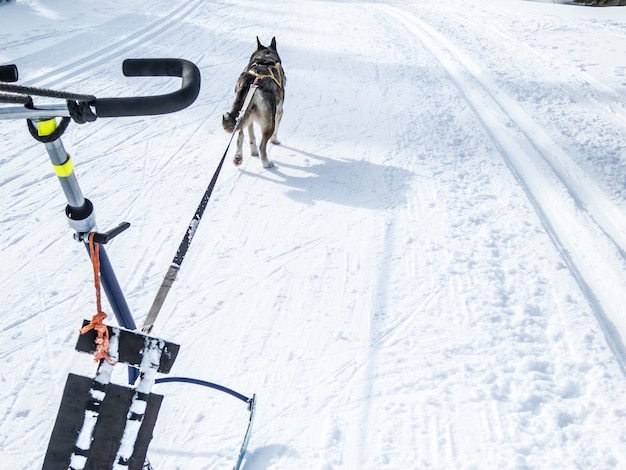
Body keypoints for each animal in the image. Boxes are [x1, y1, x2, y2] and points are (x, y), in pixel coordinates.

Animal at [222, 36, 286, 169]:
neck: (265, 58)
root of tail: (251, 80)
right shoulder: (279, 111)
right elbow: (276, 131)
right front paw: (275, 141)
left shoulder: (250, 118)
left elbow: (251, 136)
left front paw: (253, 151)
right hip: (269, 123)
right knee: (262, 146)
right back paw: (266, 163)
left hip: (243, 113)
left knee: (240, 135)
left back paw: (238, 157)